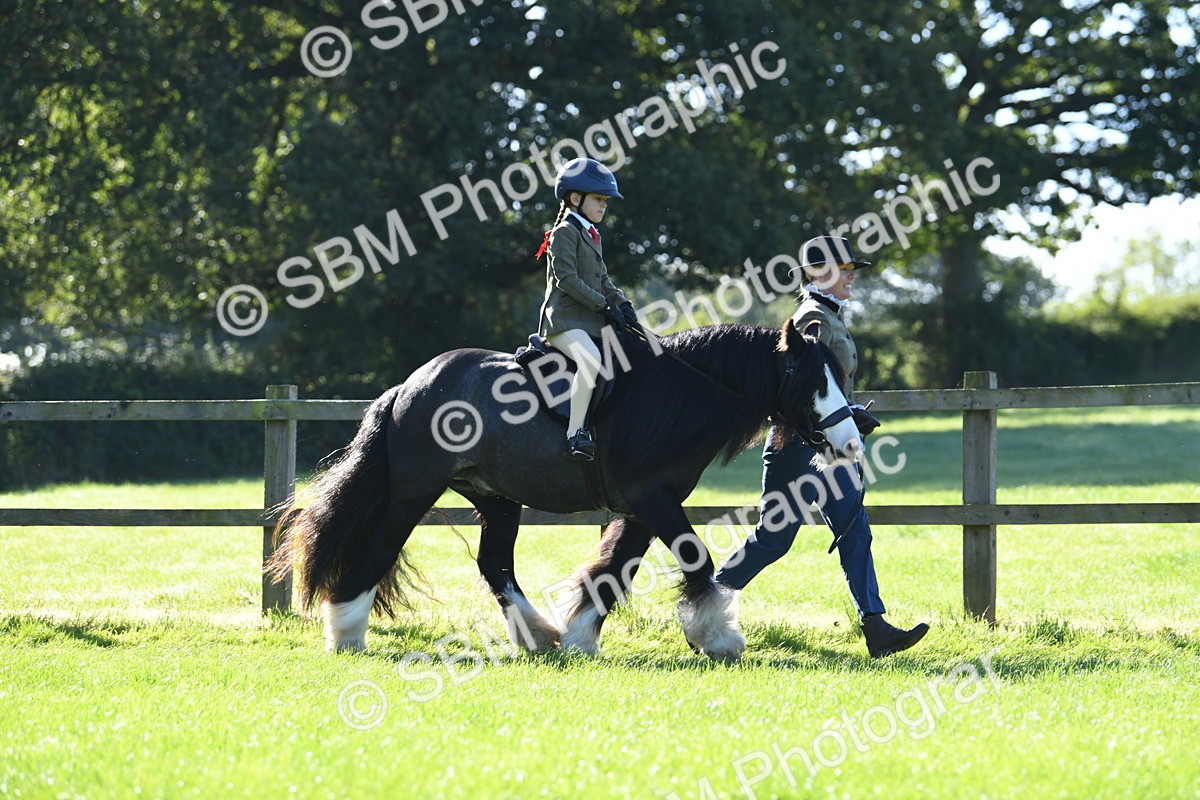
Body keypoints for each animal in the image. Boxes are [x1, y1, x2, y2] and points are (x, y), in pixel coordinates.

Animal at [266, 320, 861, 661]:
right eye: (816, 381)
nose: (854, 441)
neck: (678, 394)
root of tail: (410, 385)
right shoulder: (652, 499)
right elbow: (698, 559)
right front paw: (716, 637)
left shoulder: (643, 508)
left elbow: (614, 571)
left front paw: (580, 636)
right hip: (414, 491)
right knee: (379, 550)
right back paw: (346, 632)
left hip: (497, 499)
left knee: (495, 565)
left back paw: (537, 635)